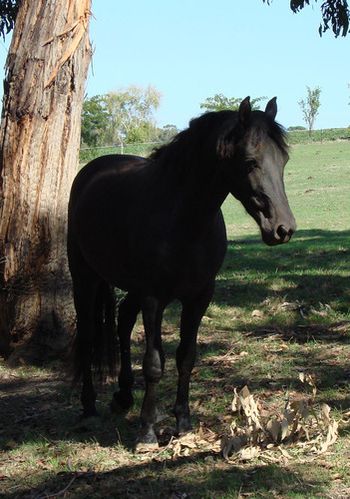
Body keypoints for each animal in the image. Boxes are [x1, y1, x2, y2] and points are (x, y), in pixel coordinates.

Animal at [67, 96, 296, 446]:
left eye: (283, 160)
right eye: (250, 161)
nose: (283, 229)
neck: (184, 220)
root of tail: (93, 170)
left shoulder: (199, 296)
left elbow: (186, 358)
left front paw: (184, 423)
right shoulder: (153, 298)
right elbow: (153, 363)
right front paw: (147, 432)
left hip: (130, 287)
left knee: (123, 320)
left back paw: (123, 395)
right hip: (85, 277)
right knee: (88, 335)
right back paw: (90, 408)